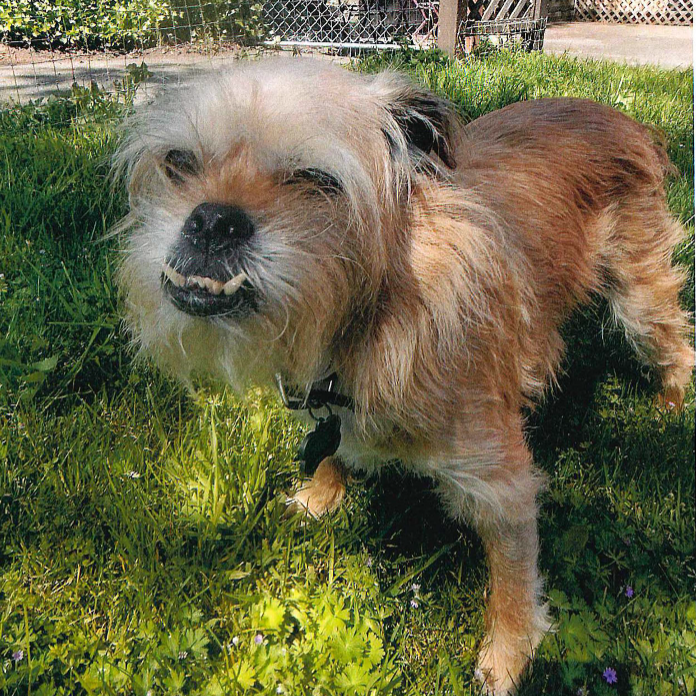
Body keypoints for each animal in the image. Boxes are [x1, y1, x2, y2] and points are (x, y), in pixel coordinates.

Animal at [113, 58, 692, 692]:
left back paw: (671, 404)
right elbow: (333, 447)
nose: (213, 220)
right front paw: (320, 496)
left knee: (676, 342)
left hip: (639, 296)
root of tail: (619, 117)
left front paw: (507, 656)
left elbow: (512, 578)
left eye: (315, 179)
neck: (367, 319)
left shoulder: (501, 481)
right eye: (179, 163)